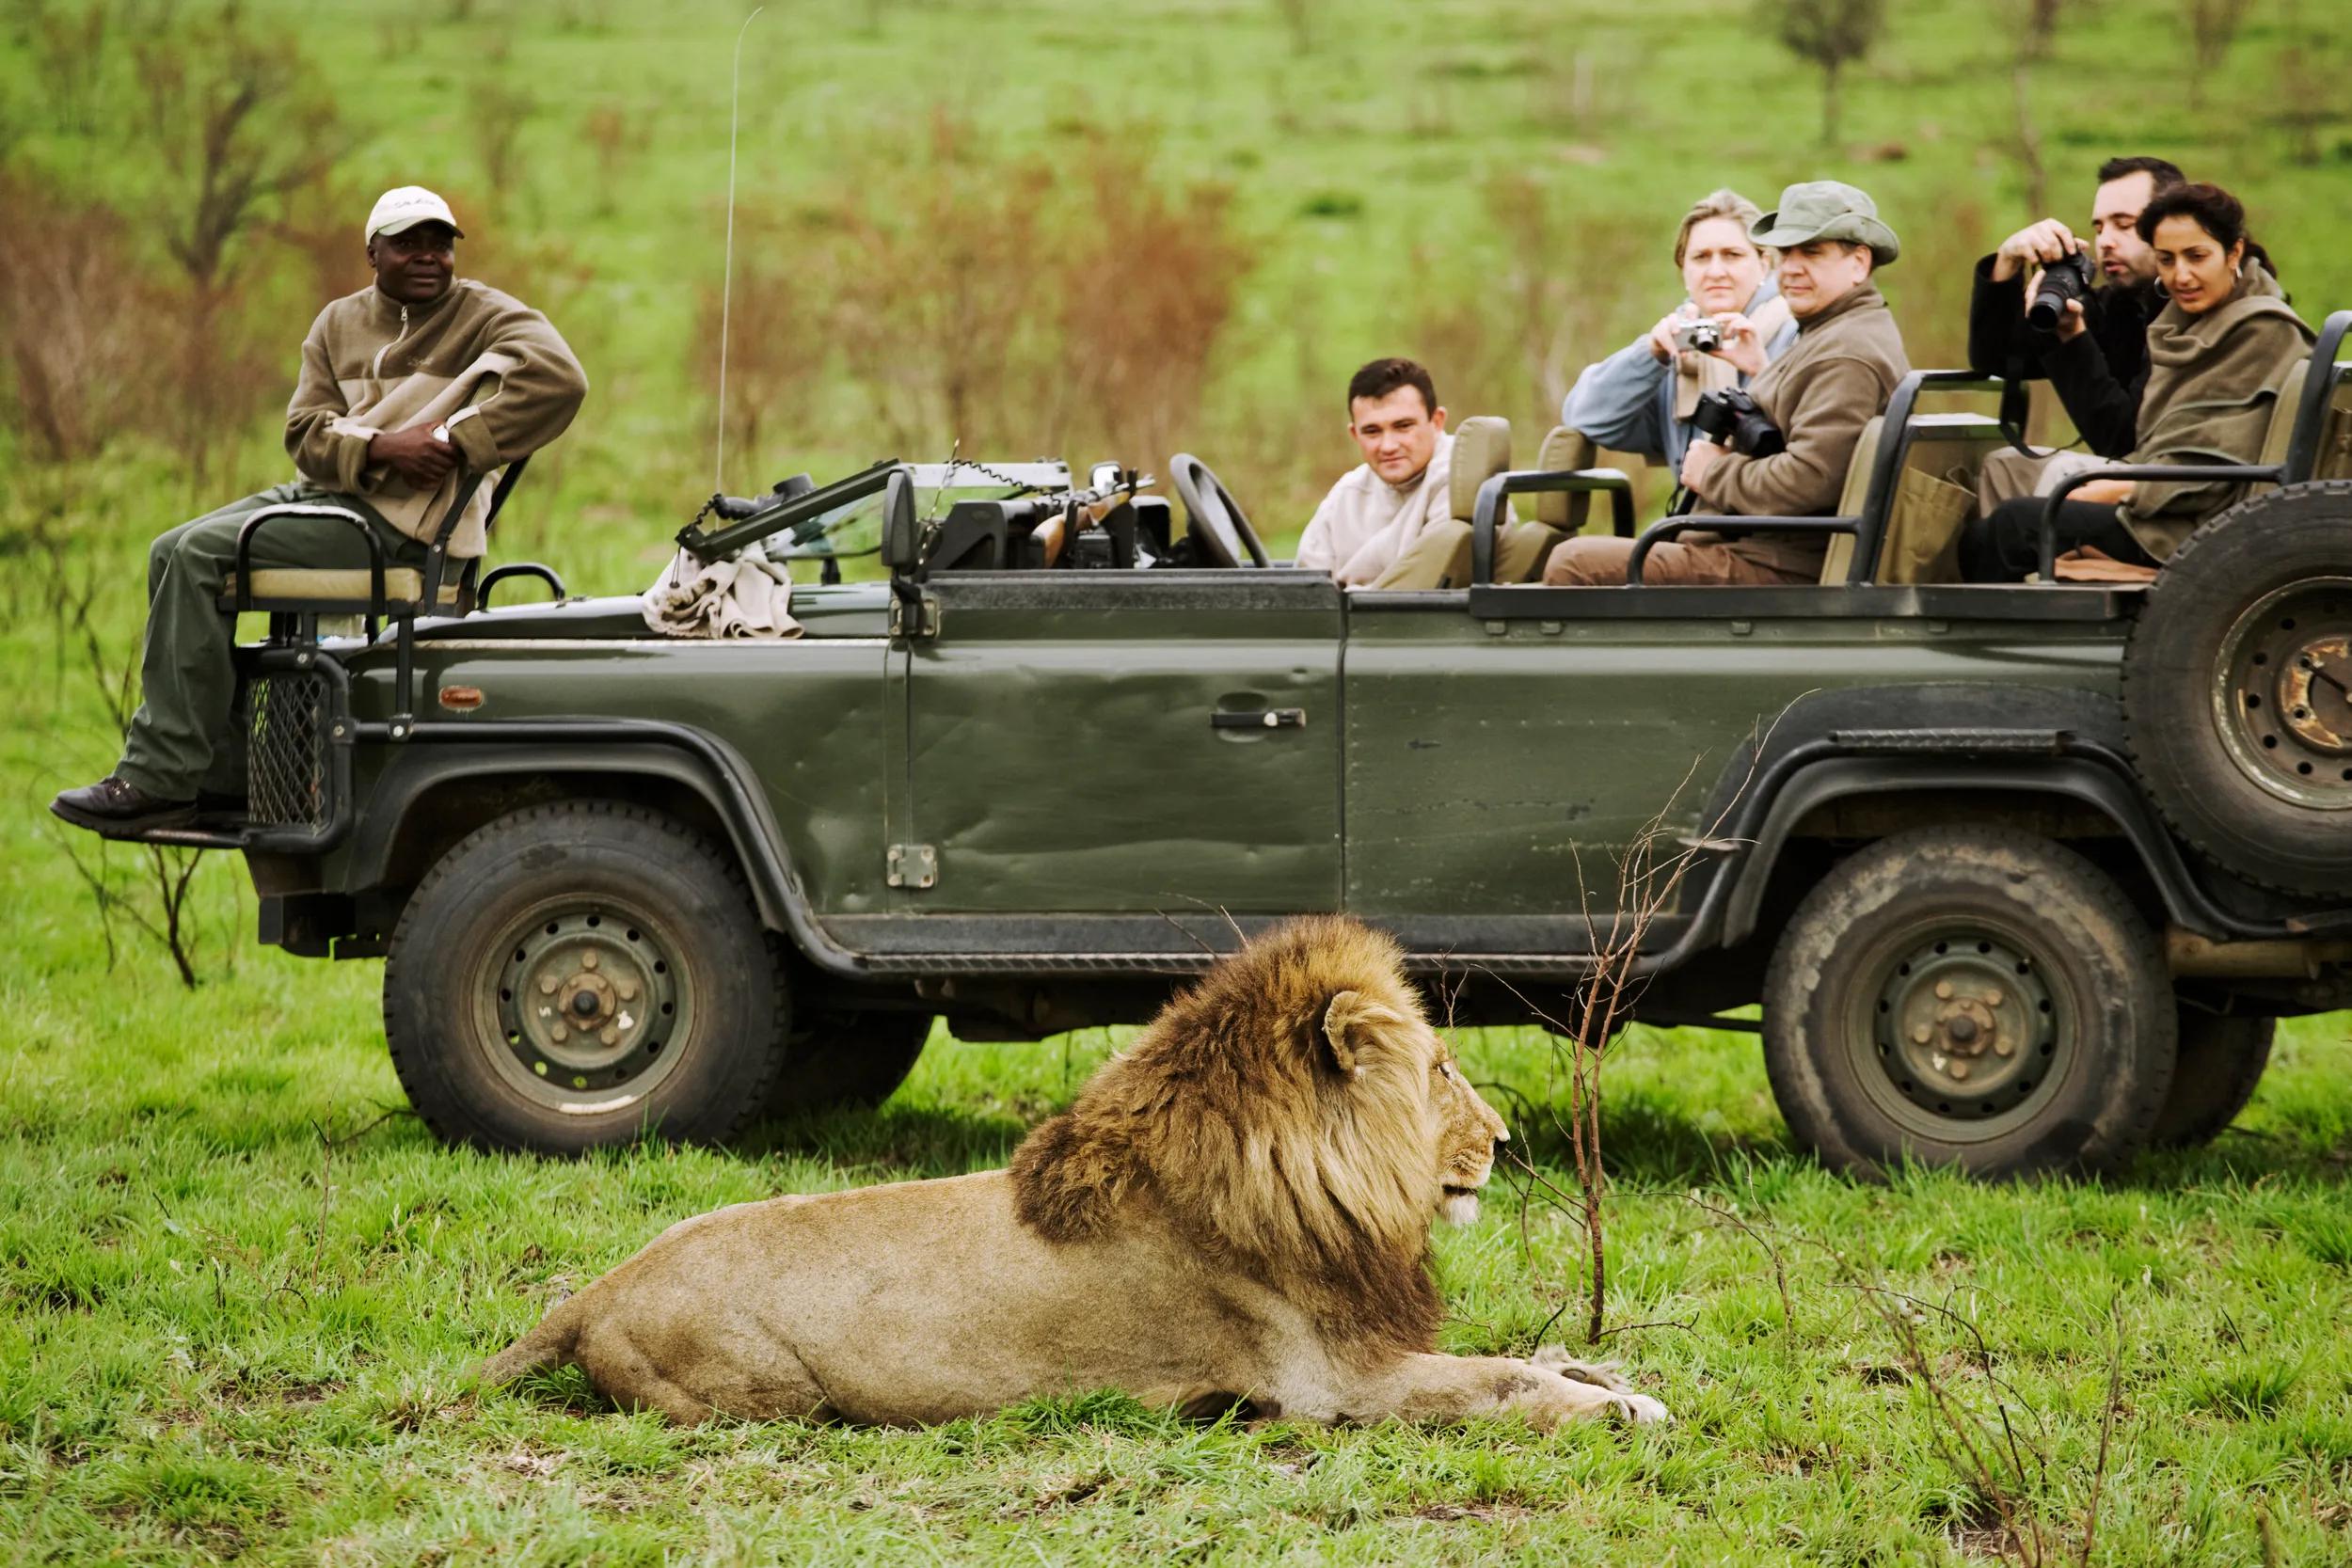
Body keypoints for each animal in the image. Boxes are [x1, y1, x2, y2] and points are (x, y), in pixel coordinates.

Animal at [480, 915, 1668, 1429]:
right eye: (1443, 1069)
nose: (1503, 1142)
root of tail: (594, 1290)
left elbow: (1520, 1351)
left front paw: (1606, 1370)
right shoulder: (1333, 1384)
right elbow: (1497, 1379)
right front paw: (1618, 1405)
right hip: (764, 1390)